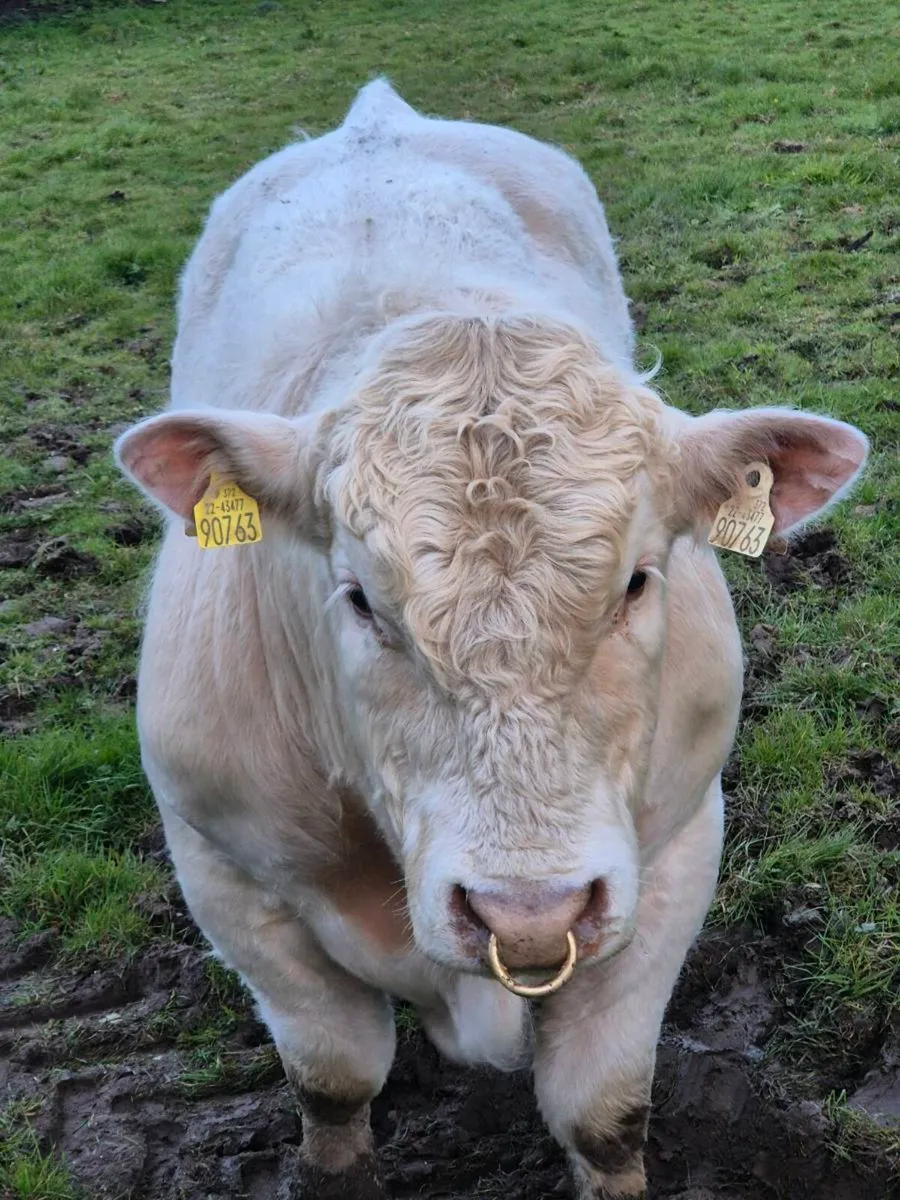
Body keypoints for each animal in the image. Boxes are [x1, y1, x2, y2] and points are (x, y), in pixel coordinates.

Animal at [115, 80, 868, 1199]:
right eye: (359, 600)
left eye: (638, 580)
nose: (529, 913)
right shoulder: (225, 868)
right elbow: (334, 1079)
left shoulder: (675, 848)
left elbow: (604, 1112)